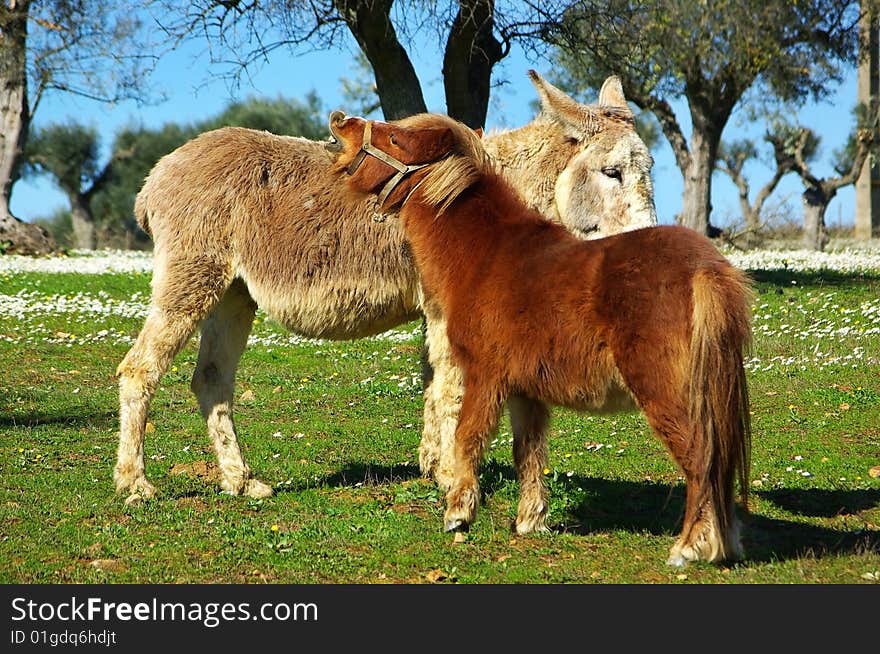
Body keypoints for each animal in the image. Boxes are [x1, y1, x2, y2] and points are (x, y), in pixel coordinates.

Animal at [330, 110, 748, 568]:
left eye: (394, 139)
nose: (340, 121)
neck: (486, 255)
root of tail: (705, 269)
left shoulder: (484, 376)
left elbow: (467, 437)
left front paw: (458, 513)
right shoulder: (525, 392)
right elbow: (528, 453)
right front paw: (531, 521)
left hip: (667, 394)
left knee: (701, 462)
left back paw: (688, 547)